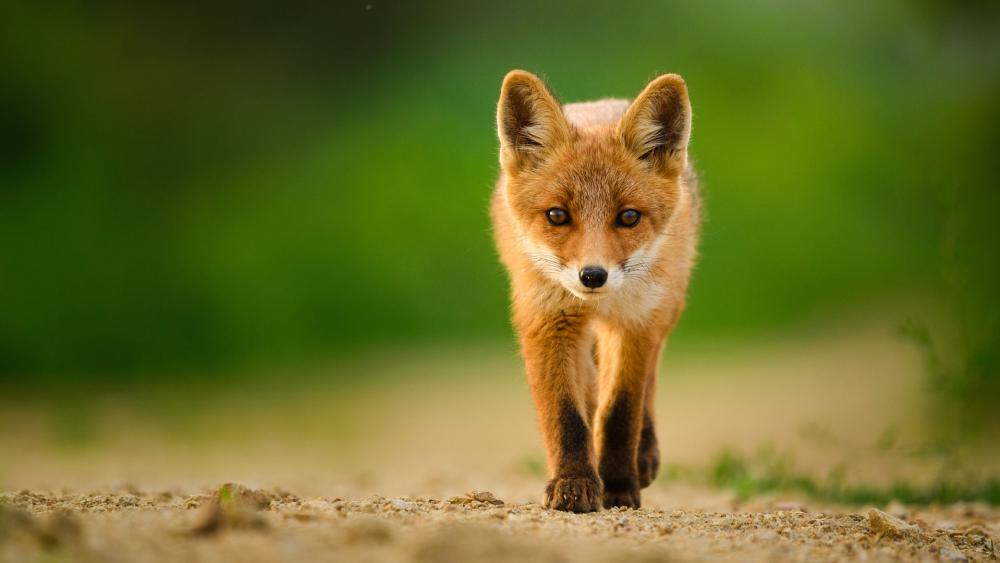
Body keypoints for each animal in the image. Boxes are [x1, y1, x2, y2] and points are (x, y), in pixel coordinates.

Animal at [490, 69, 696, 512]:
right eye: (557, 215)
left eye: (629, 217)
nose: (593, 276)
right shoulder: (548, 320)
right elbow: (566, 415)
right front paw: (574, 483)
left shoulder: (636, 322)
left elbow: (620, 411)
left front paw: (618, 485)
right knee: (588, 391)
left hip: (667, 306)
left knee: (647, 381)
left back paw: (644, 454)